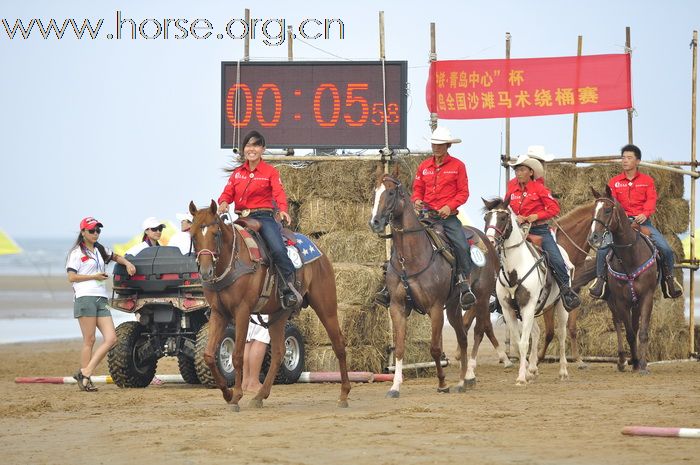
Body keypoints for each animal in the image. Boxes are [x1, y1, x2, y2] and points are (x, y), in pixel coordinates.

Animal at [189, 199, 350, 406]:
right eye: (193, 236)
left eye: (215, 234)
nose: (206, 271)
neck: (233, 261)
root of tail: (318, 251)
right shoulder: (219, 313)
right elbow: (209, 355)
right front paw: (227, 393)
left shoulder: (242, 311)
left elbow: (238, 355)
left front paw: (237, 395)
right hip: (278, 314)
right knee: (279, 352)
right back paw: (260, 396)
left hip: (326, 306)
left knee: (338, 344)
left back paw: (344, 394)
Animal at [366, 170, 504, 396]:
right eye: (374, 193)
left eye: (391, 192)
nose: (375, 222)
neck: (410, 258)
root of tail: (487, 241)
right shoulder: (397, 307)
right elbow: (400, 347)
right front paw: (395, 387)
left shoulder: (436, 307)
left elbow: (435, 348)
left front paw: (442, 383)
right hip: (454, 306)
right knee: (463, 337)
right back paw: (462, 380)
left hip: (481, 299)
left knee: (478, 330)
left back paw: (468, 377)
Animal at [484, 198, 572, 382]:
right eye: (486, 218)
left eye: (503, 218)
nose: (490, 241)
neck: (515, 268)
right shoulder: (509, 310)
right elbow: (519, 342)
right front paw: (525, 371)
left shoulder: (528, 305)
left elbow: (524, 343)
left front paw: (521, 378)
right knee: (537, 332)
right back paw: (532, 368)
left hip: (559, 306)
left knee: (561, 334)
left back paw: (563, 371)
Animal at [588, 187, 660, 372]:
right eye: (593, 210)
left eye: (607, 210)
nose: (593, 237)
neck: (630, 257)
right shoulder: (620, 300)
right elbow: (628, 333)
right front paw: (634, 360)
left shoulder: (647, 296)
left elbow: (642, 332)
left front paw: (642, 364)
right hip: (612, 301)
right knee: (618, 323)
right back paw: (621, 360)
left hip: (635, 302)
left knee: (633, 325)